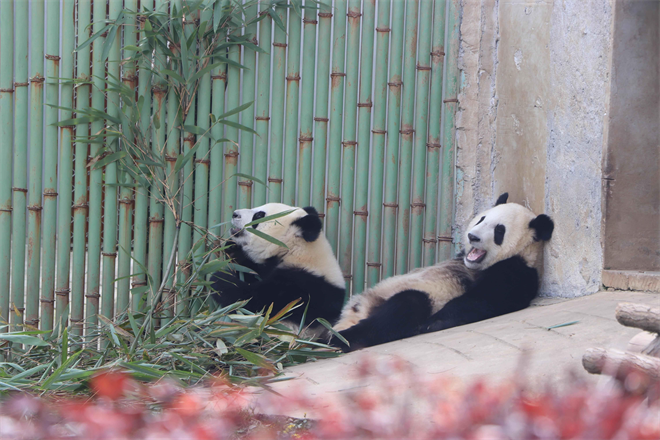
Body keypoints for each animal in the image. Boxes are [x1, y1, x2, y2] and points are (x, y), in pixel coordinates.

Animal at [211, 205, 346, 332]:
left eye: (259, 215)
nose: (235, 214)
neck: (297, 250)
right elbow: (250, 270)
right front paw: (232, 248)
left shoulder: (302, 290)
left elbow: (257, 303)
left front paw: (219, 279)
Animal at [332, 194, 556, 352]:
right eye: (481, 219)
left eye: (499, 231)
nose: (472, 236)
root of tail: (359, 310)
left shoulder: (517, 272)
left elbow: (485, 299)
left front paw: (434, 323)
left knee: (403, 308)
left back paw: (340, 339)